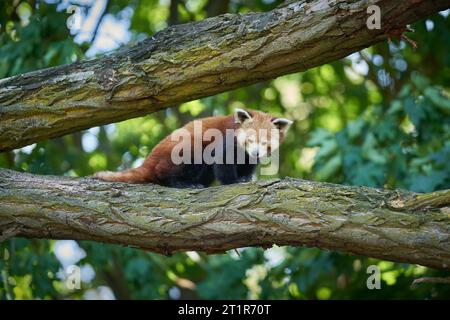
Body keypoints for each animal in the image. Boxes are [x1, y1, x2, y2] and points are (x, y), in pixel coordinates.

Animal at [93, 107, 294, 188]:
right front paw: (233, 181)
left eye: (265, 142)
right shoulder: (225, 141)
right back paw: (184, 183)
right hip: (183, 149)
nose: (256, 152)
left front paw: (245, 177)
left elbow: (248, 165)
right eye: (250, 140)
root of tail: (149, 159)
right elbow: (222, 164)